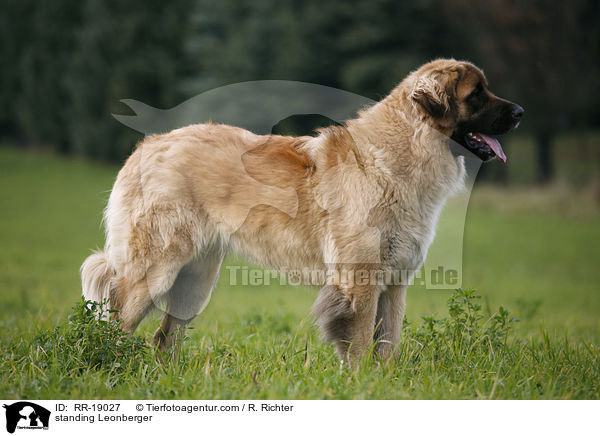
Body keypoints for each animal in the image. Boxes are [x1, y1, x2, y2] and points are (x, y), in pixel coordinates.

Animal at [82, 59, 524, 362]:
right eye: (477, 94)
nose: (520, 112)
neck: (397, 154)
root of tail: (149, 145)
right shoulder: (359, 282)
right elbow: (359, 344)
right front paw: (362, 386)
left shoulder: (395, 282)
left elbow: (387, 344)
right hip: (154, 271)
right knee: (117, 324)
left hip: (195, 280)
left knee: (165, 338)